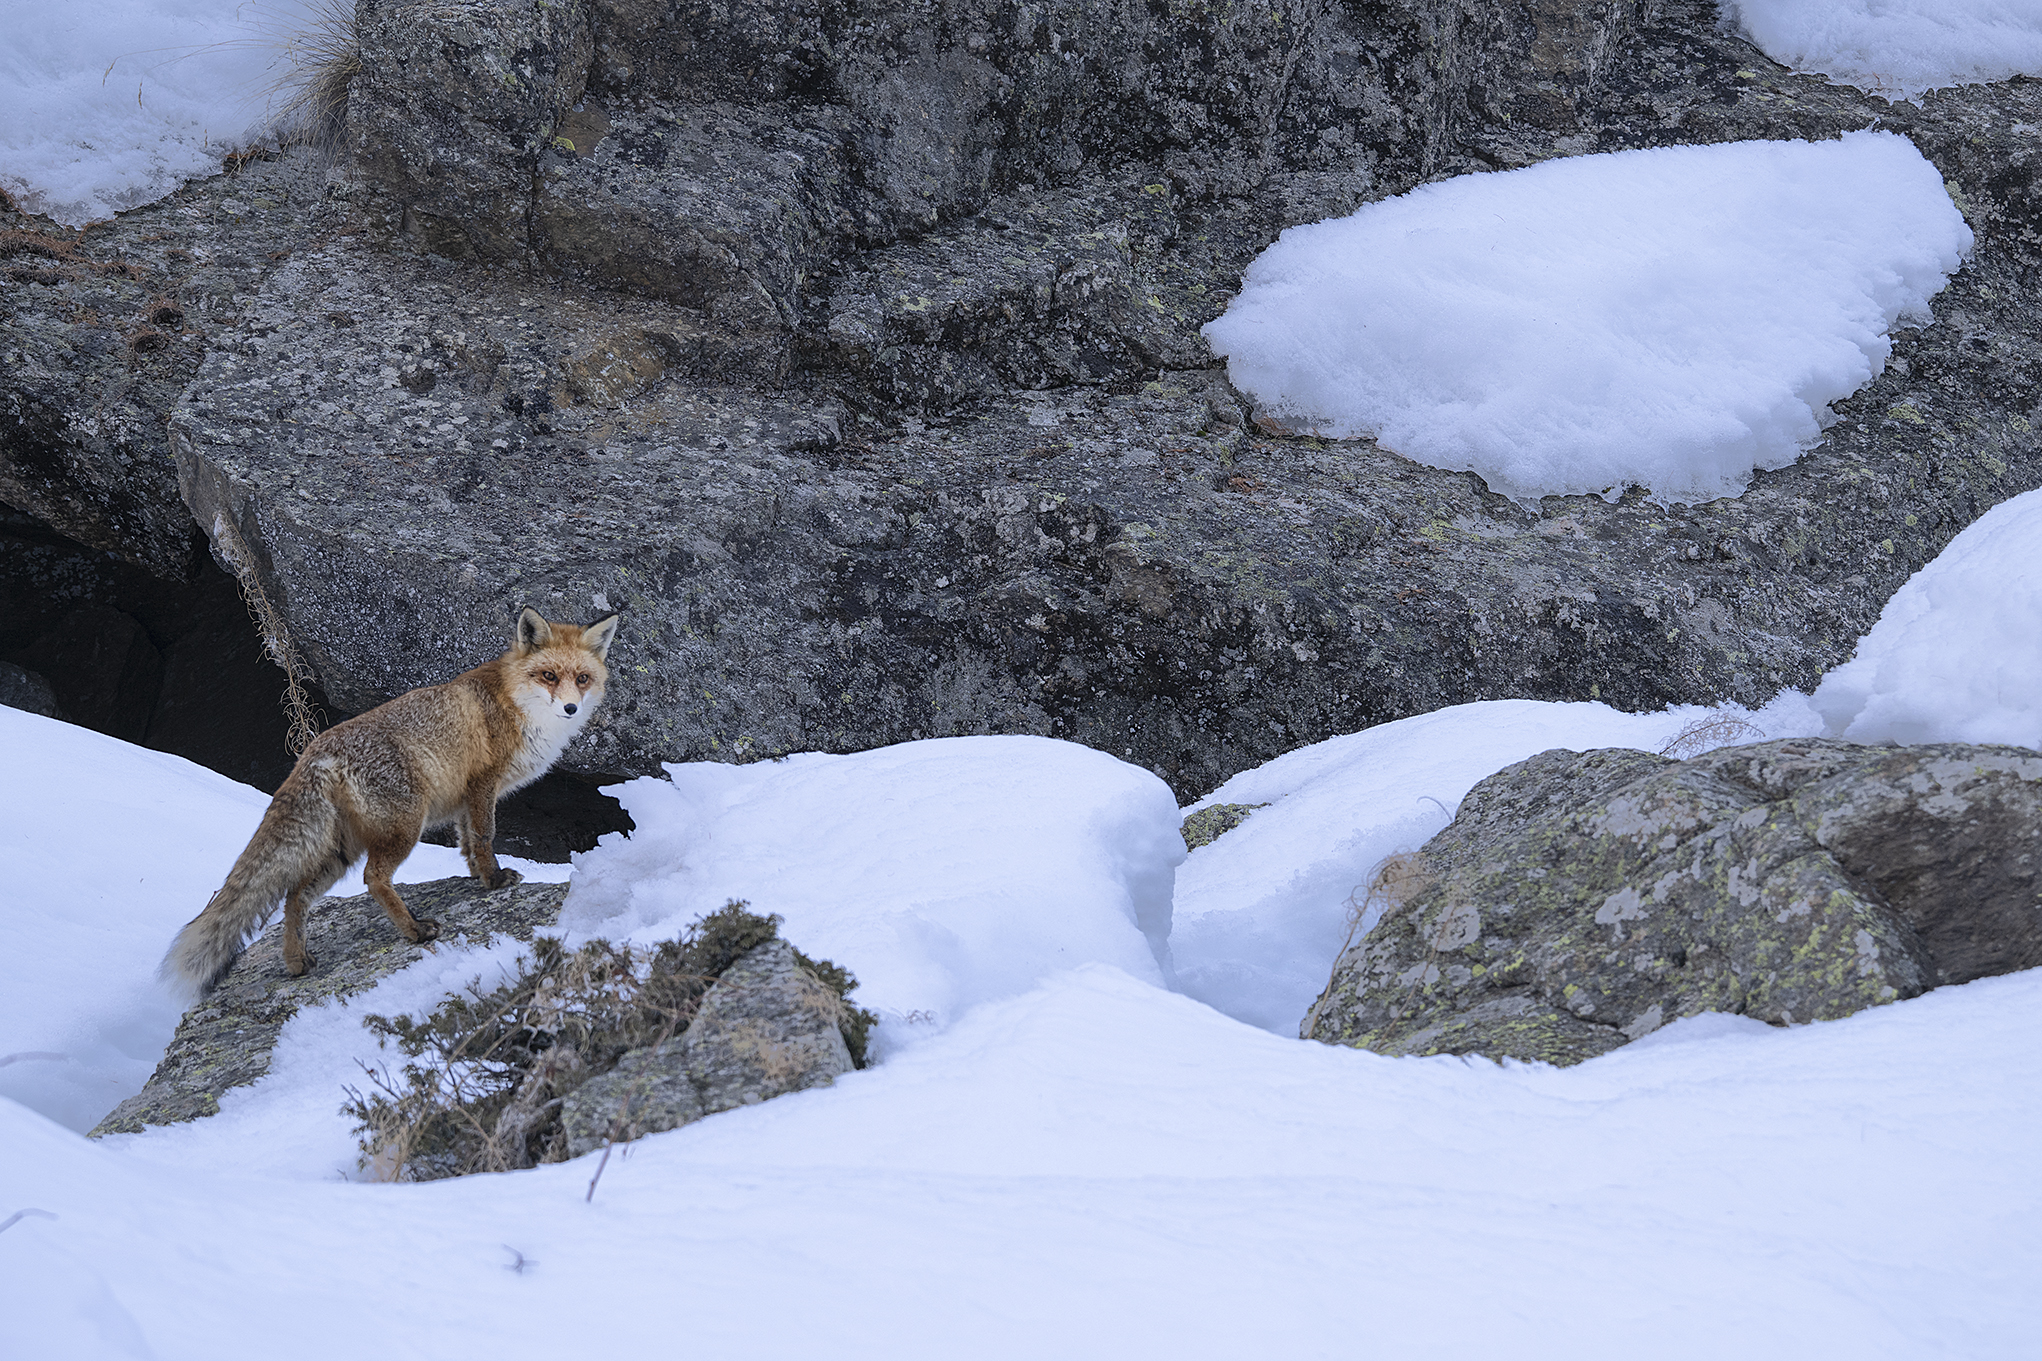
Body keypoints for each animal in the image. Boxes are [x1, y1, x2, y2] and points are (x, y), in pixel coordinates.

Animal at [162, 607, 620, 994]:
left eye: (582, 678)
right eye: (548, 675)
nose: (570, 707)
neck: (516, 706)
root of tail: (316, 750)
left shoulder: (465, 798)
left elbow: (467, 842)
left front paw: (475, 876)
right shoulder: (483, 783)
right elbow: (485, 836)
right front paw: (493, 881)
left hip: (342, 850)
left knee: (296, 895)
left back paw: (296, 962)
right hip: (403, 827)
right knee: (374, 879)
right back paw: (414, 931)